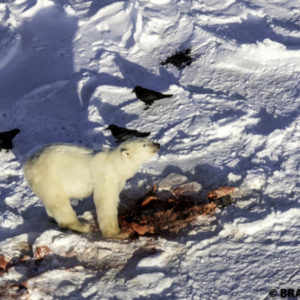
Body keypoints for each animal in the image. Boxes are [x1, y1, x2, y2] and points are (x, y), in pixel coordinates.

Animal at [23, 138, 161, 239]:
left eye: (148, 139)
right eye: (144, 145)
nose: (157, 144)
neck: (115, 164)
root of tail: (27, 164)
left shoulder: (118, 180)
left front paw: (122, 207)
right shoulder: (105, 178)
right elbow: (105, 202)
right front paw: (118, 233)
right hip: (49, 178)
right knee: (59, 202)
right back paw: (81, 225)